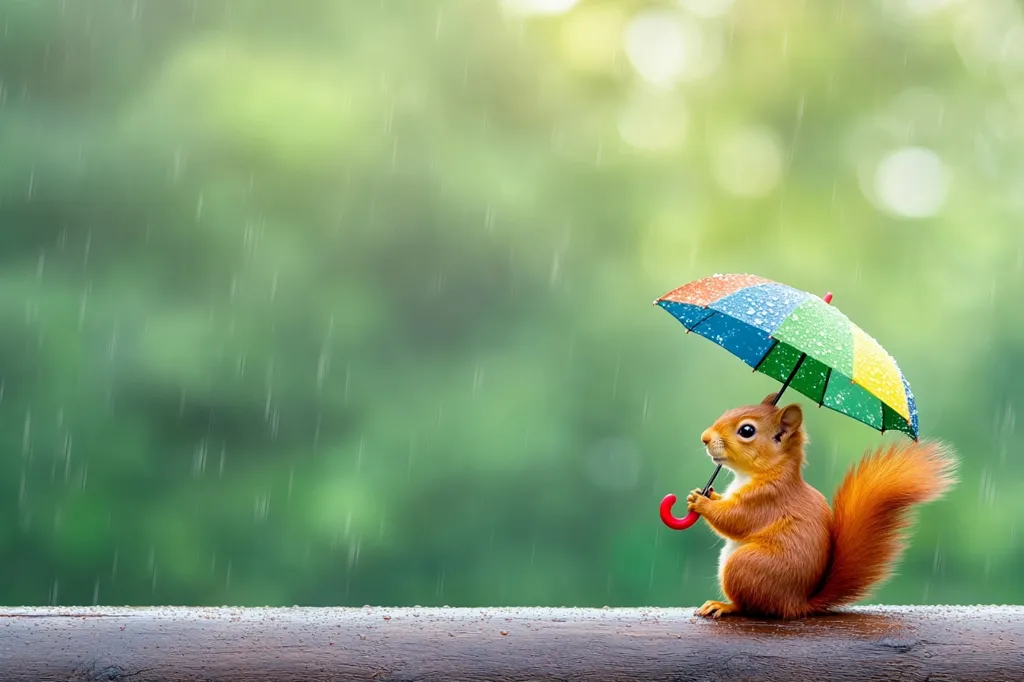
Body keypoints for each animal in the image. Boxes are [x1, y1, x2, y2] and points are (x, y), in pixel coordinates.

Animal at [685, 392, 958, 620]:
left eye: (747, 430)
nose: (704, 438)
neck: (757, 473)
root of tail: (795, 604)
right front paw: (703, 493)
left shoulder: (766, 500)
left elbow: (733, 520)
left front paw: (701, 503)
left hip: (745, 566)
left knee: (753, 607)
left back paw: (725, 605)